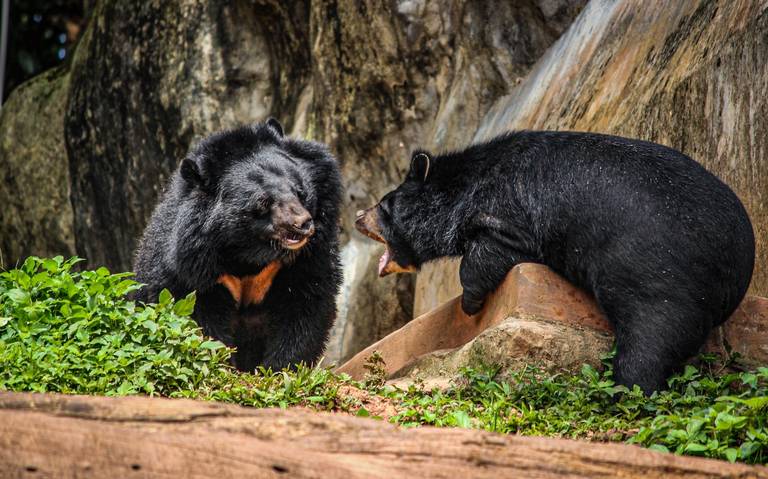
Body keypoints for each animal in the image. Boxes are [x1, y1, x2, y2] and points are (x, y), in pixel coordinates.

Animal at [133, 119, 342, 372]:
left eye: (299, 191)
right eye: (263, 203)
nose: (303, 224)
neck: (246, 253)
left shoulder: (305, 257)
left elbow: (304, 303)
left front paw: (280, 368)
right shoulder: (189, 268)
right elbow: (196, 316)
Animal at [356, 131, 756, 394]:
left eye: (385, 205)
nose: (358, 216)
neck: (466, 189)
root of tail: (739, 271)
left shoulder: (510, 215)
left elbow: (485, 257)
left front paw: (470, 304)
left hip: (663, 275)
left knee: (651, 339)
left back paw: (626, 391)